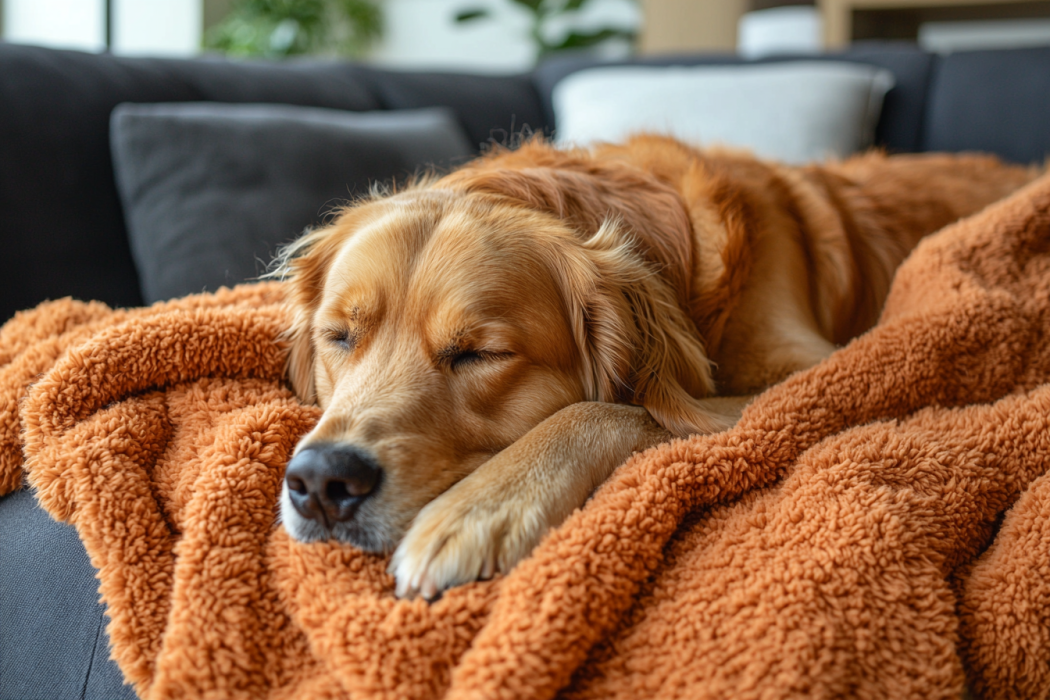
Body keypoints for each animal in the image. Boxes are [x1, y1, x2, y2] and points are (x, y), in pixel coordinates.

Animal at [270, 134, 1033, 600]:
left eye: (479, 354)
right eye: (340, 336)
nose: (322, 481)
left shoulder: (817, 375)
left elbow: (607, 405)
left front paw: (482, 507)